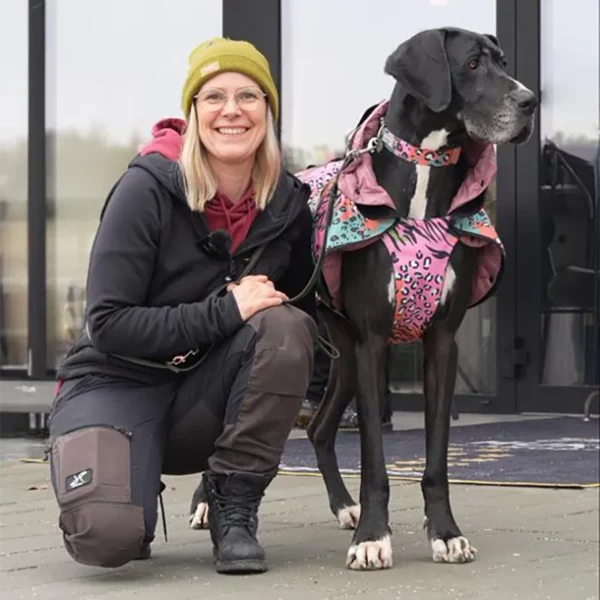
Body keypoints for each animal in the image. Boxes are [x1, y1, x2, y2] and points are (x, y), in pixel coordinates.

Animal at [190, 27, 536, 572]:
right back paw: (207, 503)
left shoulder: (440, 343)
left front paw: (445, 534)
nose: (530, 101)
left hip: (344, 352)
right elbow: (374, 457)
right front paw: (374, 538)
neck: (421, 185)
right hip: (305, 330)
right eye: (473, 64)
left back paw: (343, 507)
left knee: (320, 429)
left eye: (502, 61)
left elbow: (437, 456)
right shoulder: (375, 341)